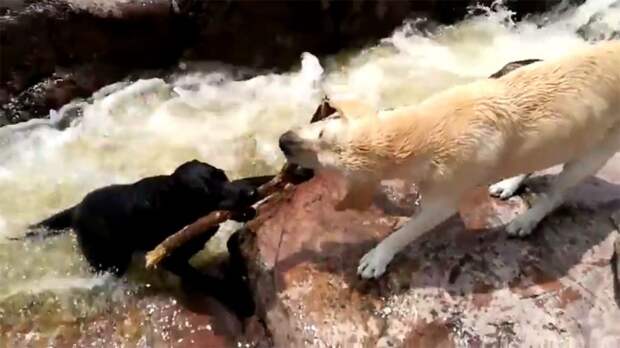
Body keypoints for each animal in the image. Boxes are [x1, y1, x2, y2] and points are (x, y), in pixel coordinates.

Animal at [278, 40, 620, 278]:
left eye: (322, 159)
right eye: (321, 129)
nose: (282, 141)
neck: (420, 131)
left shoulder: (444, 198)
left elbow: (410, 228)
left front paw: (377, 257)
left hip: (597, 148)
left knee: (559, 191)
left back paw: (526, 220)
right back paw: (510, 183)